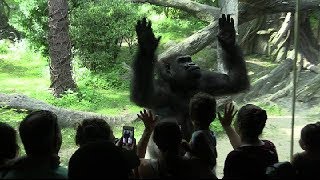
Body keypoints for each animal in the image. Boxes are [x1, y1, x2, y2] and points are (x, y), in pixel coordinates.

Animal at [130, 14, 250, 153]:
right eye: (182, 61)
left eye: (189, 59)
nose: (192, 64)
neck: (180, 85)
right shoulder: (160, 92)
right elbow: (143, 94)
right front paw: (146, 47)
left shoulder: (205, 80)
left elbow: (234, 82)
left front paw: (227, 38)